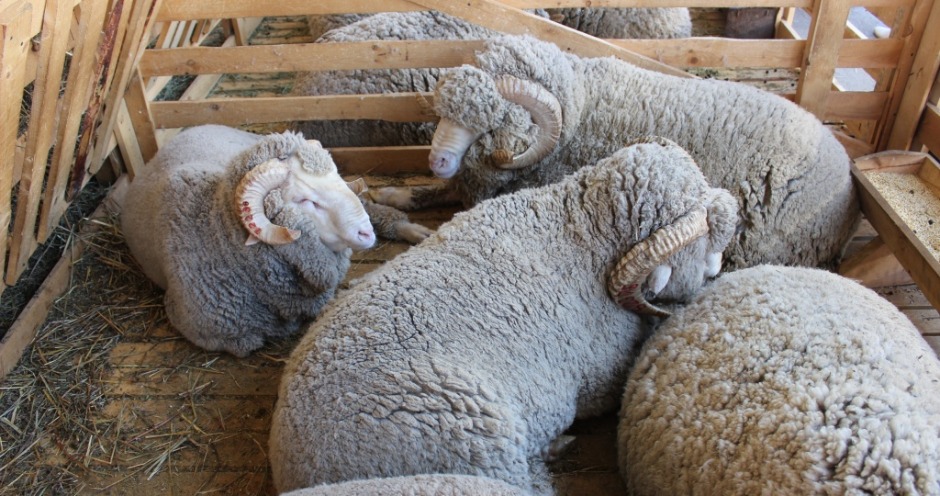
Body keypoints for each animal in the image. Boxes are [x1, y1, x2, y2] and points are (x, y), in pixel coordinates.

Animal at [120, 124, 423, 357]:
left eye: (337, 177)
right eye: (305, 201)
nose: (365, 233)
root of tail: (190, 129)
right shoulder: (212, 332)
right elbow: (250, 343)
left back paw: (411, 229)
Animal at [268, 137, 740, 494]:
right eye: (704, 240)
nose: (717, 269)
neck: (584, 234)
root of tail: (302, 469)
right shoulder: (600, 378)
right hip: (479, 448)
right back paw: (555, 447)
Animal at [371, 34, 859, 272]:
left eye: (489, 122)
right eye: (445, 113)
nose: (436, 160)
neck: (581, 109)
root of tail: (848, 178)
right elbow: (436, 192)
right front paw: (393, 196)